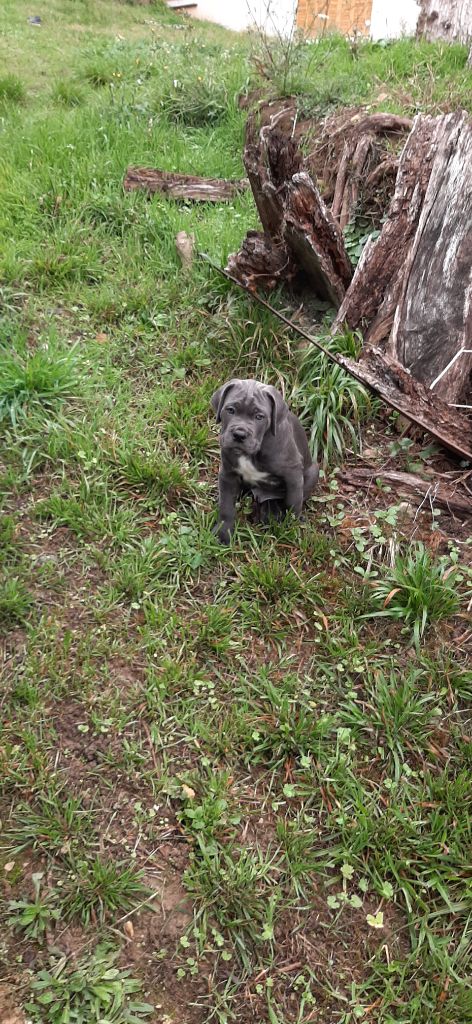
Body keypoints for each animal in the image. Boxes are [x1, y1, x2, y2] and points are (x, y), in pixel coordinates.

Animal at [211, 380, 317, 544]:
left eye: (259, 416)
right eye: (230, 410)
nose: (239, 434)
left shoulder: (293, 474)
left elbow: (293, 503)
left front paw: (292, 527)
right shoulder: (227, 473)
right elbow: (226, 506)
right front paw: (223, 532)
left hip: (313, 471)